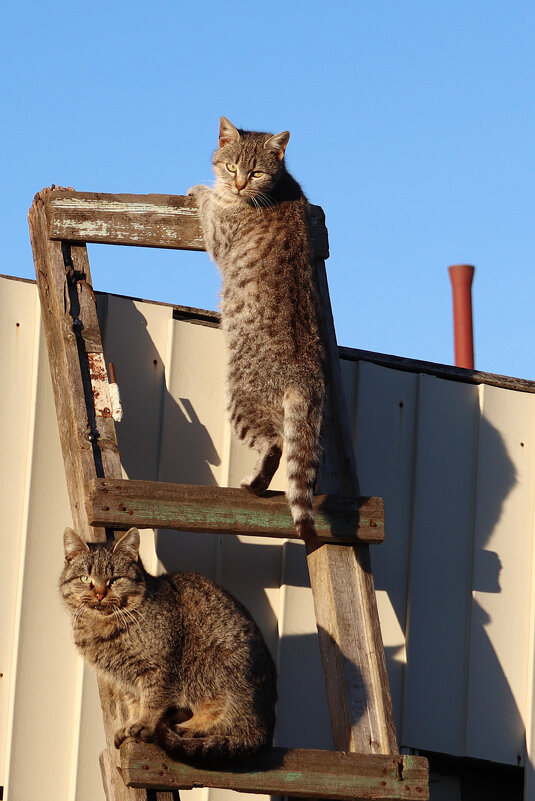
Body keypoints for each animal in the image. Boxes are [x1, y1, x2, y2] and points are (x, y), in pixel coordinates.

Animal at [59, 524, 276, 764]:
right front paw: (131, 723)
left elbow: (153, 701)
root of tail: (267, 728)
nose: (99, 593)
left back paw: (188, 726)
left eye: (114, 579)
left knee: (231, 721)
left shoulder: (161, 668)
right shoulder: (125, 681)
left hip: (209, 670)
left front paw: (143, 724)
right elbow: (134, 704)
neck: (101, 626)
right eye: (85, 578)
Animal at [189, 117, 326, 544]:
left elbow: (208, 203)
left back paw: (252, 484)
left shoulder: (219, 234)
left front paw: (201, 189)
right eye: (233, 166)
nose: (237, 185)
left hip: (242, 402)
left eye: (256, 172)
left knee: (275, 446)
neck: (280, 187)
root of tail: (303, 378)